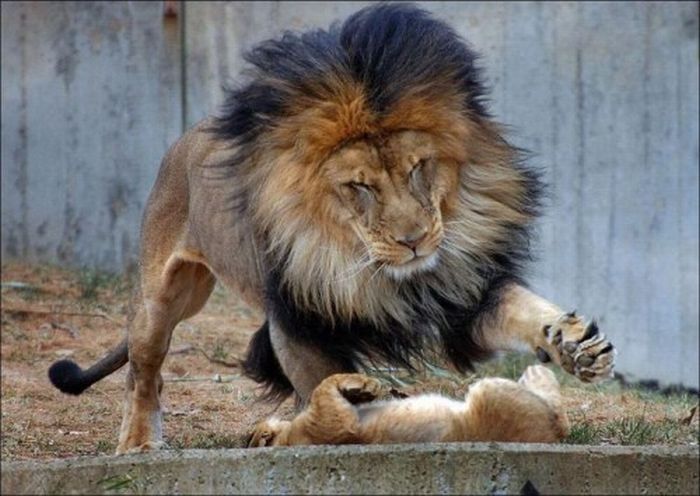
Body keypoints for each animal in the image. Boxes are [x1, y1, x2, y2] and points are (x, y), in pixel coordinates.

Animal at [248, 365, 570, 447]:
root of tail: (548, 439)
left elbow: (323, 385)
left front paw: (364, 391)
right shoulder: (332, 427)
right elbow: (322, 387)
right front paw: (362, 386)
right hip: (487, 391)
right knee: (559, 418)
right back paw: (538, 373)